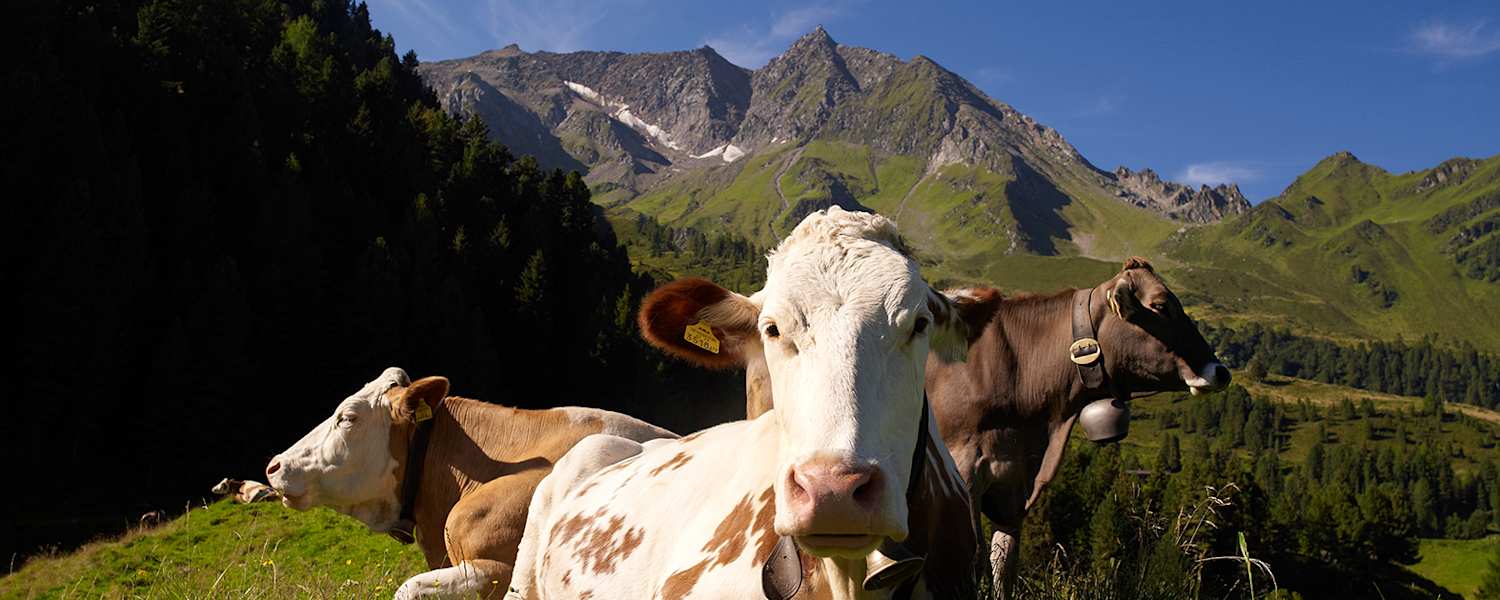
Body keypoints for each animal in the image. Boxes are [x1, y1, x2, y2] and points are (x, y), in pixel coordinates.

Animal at [923, 257, 1230, 598]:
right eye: (1161, 306)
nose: (1221, 371)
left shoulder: (1015, 486)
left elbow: (1003, 562)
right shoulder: (963, 468)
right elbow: (970, 559)